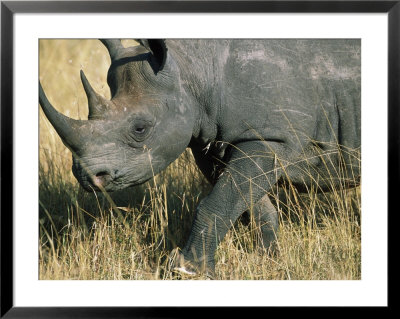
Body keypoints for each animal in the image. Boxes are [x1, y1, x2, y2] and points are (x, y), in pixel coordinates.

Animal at [39, 39, 360, 278]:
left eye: (140, 129)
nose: (87, 176)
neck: (194, 70)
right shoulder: (218, 140)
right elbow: (247, 204)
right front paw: (267, 261)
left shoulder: (267, 137)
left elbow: (218, 202)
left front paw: (188, 271)